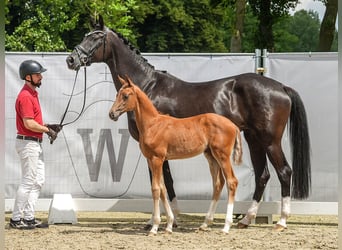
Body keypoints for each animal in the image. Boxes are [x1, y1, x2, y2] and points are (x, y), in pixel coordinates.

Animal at [109, 75, 243, 234]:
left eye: (126, 96)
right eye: (116, 94)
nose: (112, 114)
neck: (152, 124)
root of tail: (233, 125)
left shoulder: (157, 159)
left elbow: (156, 189)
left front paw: (155, 227)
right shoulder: (151, 160)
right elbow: (162, 188)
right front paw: (168, 225)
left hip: (222, 156)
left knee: (231, 182)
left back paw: (226, 227)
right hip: (211, 156)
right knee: (218, 183)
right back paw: (205, 224)